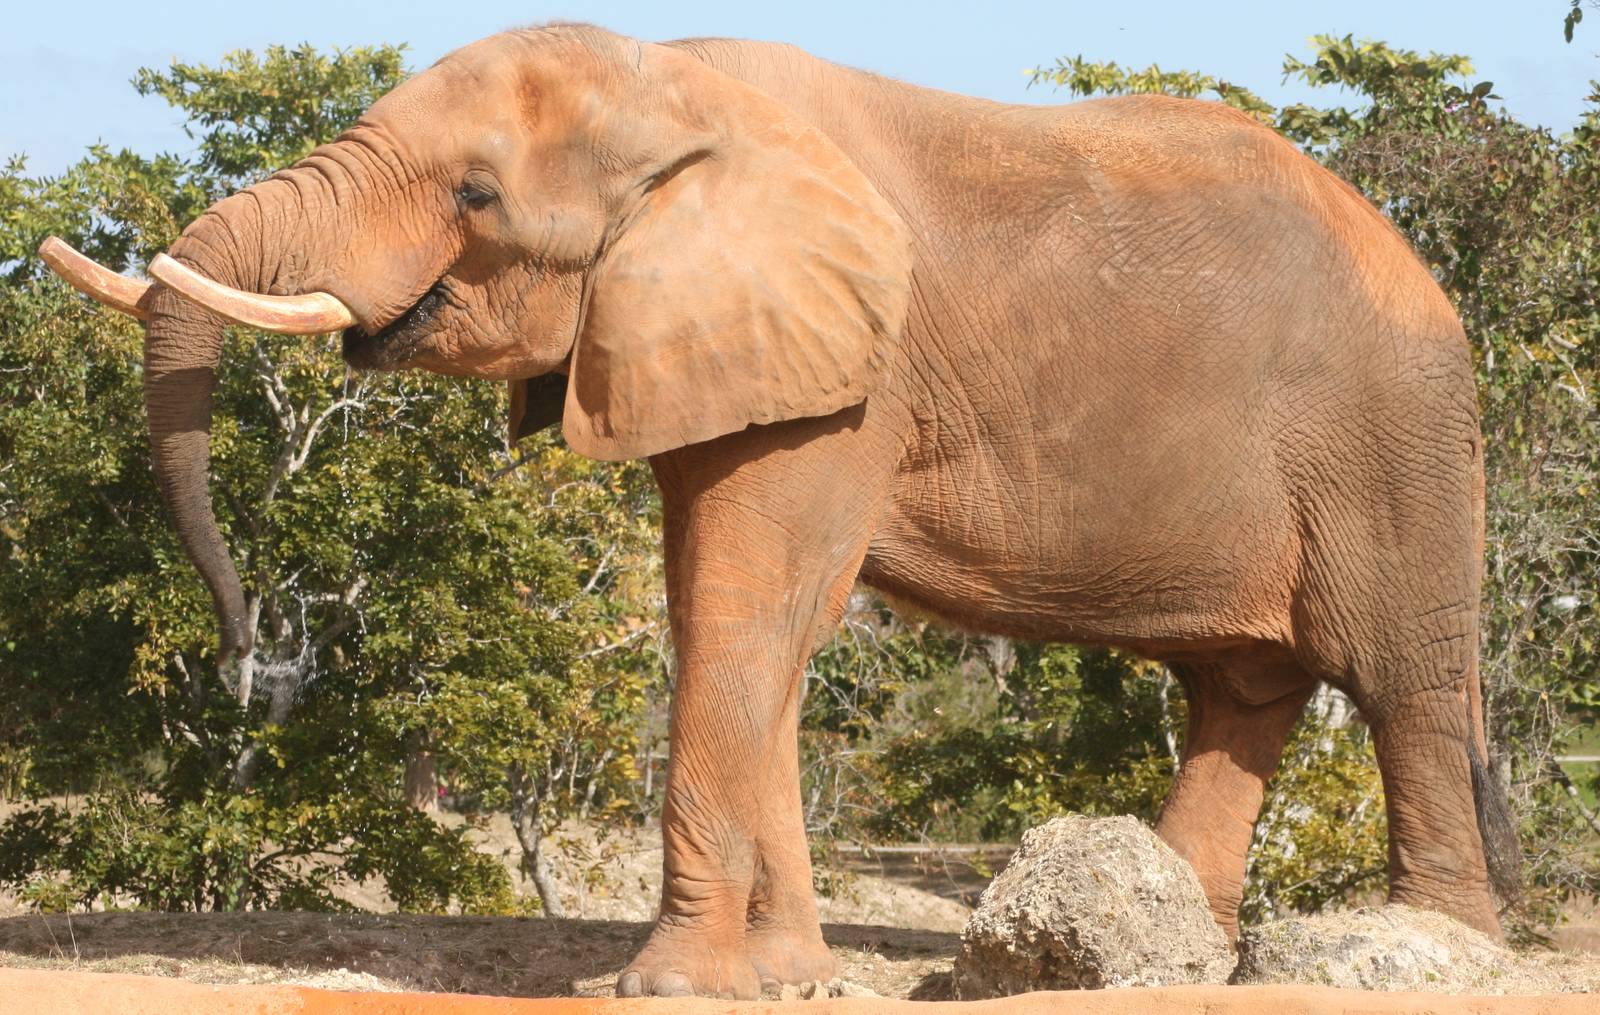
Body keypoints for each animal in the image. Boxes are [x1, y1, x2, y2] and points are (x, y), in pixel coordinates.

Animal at [44, 22, 1519, 999]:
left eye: (474, 194)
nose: (245, 649)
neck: (679, 87)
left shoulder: (853, 374)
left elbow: (748, 614)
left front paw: (666, 984)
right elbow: (757, 624)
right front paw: (787, 972)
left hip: (1393, 439)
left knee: (1401, 681)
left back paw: (1436, 948)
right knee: (1242, 691)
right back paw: (1185, 958)